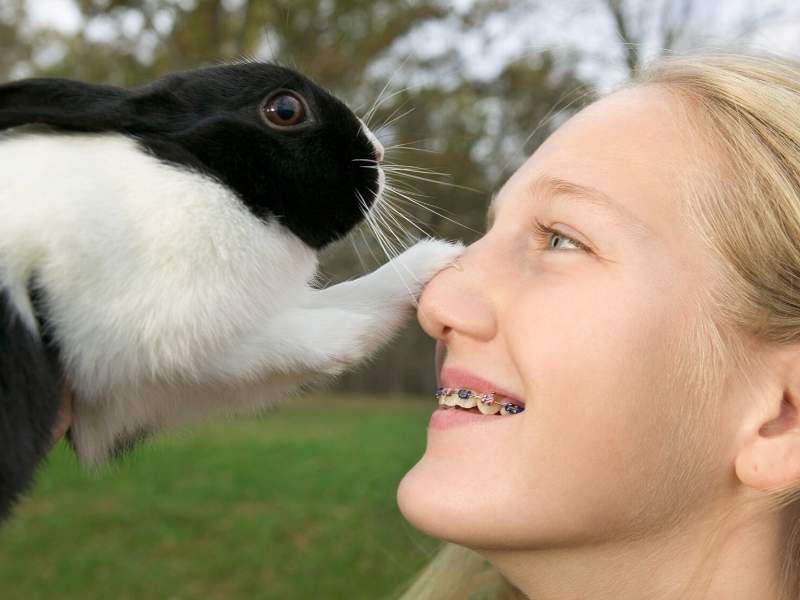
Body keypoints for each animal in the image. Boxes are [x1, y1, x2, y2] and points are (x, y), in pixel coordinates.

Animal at [0, 62, 466, 520]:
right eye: (285, 109)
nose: (380, 154)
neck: (214, 183)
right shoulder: (162, 336)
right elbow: (302, 340)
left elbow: (352, 299)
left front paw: (438, 258)